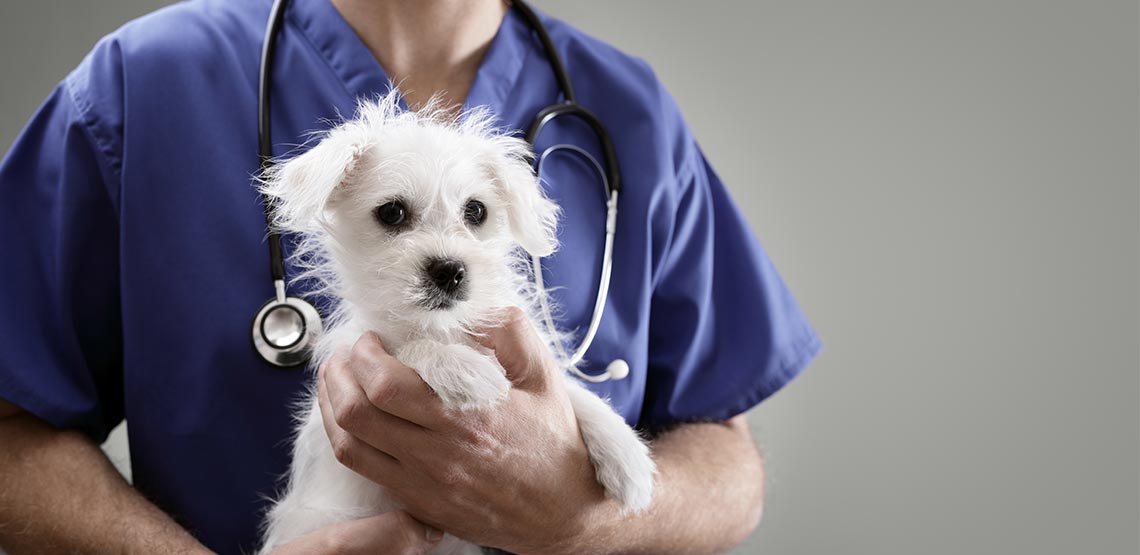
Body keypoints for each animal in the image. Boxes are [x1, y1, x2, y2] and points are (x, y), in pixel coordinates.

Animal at [255, 93, 656, 553]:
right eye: (391, 213)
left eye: (476, 211)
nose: (449, 271)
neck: (444, 326)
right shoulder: (363, 345)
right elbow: (406, 345)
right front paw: (462, 368)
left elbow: (573, 393)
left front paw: (626, 454)